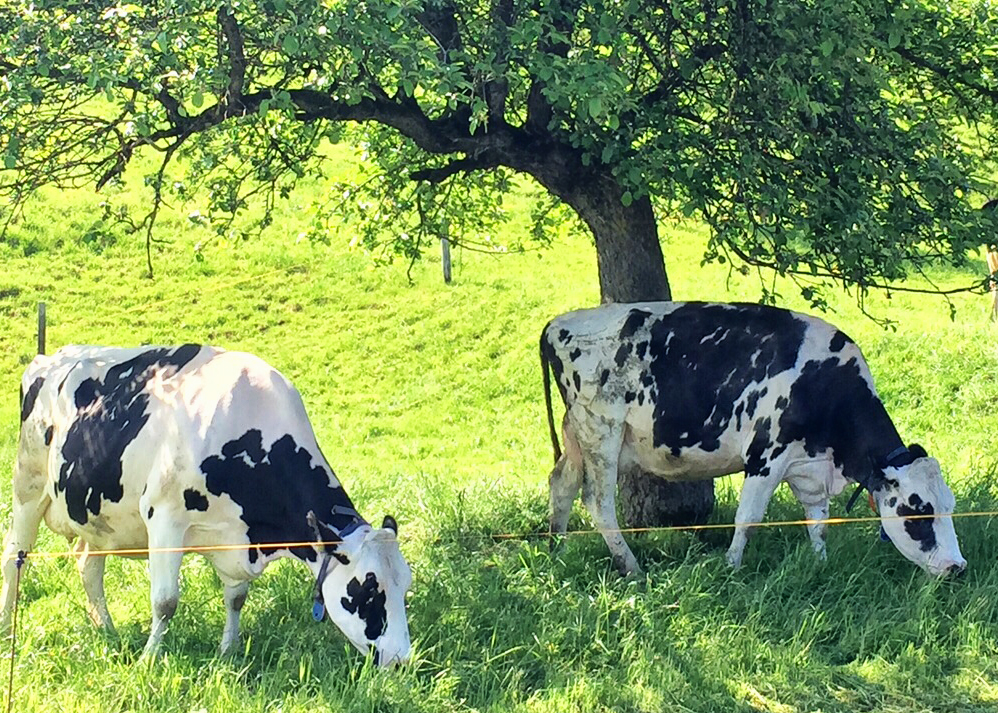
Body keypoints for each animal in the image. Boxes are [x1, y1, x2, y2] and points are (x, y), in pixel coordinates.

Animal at [0, 342, 412, 664]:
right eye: (368, 591)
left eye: (405, 588)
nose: (401, 661)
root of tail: (50, 357)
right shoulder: (164, 518)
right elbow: (165, 602)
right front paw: (149, 660)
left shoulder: (234, 539)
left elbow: (237, 597)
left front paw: (228, 652)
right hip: (28, 484)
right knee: (14, 558)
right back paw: (7, 630)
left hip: (96, 515)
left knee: (88, 565)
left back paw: (108, 631)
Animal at [544, 304, 972, 576]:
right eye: (917, 512)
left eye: (949, 507)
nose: (957, 567)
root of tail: (557, 324)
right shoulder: (765, 456)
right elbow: (747, 518)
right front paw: (732, 567)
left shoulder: (808, 468)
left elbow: (818, 522)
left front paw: (820, 563)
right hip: (602, 432)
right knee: (598, 503)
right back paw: (630, 567)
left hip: (577, 435)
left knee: (561, 483)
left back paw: (556, 548)